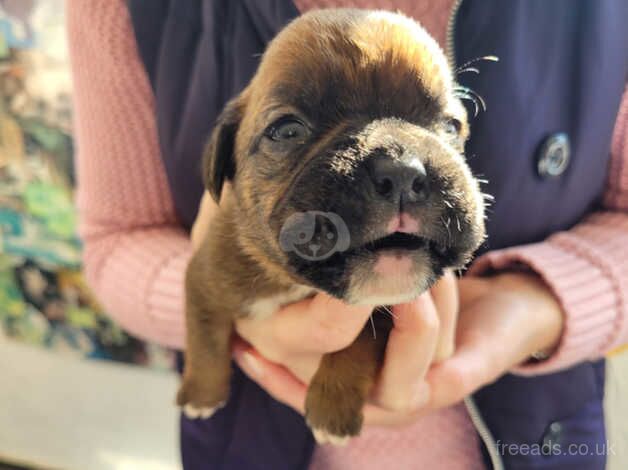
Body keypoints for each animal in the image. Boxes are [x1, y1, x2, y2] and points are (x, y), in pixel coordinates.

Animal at [179, 9, 488, 446]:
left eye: (450, 126)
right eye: (287, 130)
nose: (402, 170)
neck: (297, 286)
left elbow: (359, 342)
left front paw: (332, 408)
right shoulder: (205, 278)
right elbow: (205, 336)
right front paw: (202, 395)